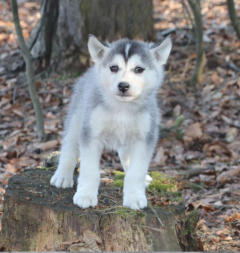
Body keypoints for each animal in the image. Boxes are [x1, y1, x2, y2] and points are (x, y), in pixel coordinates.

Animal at [50, 35, 172, 210]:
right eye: (114, 68)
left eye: (139, 69)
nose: (123, 85)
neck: (122, 109)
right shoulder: (91, 134)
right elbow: (90, 170)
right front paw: (85, 195)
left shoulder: (144, 138)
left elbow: (136, 172)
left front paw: (134, 196)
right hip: (77, 118)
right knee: (69, 146)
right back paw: (62, 175)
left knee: (125, 156)